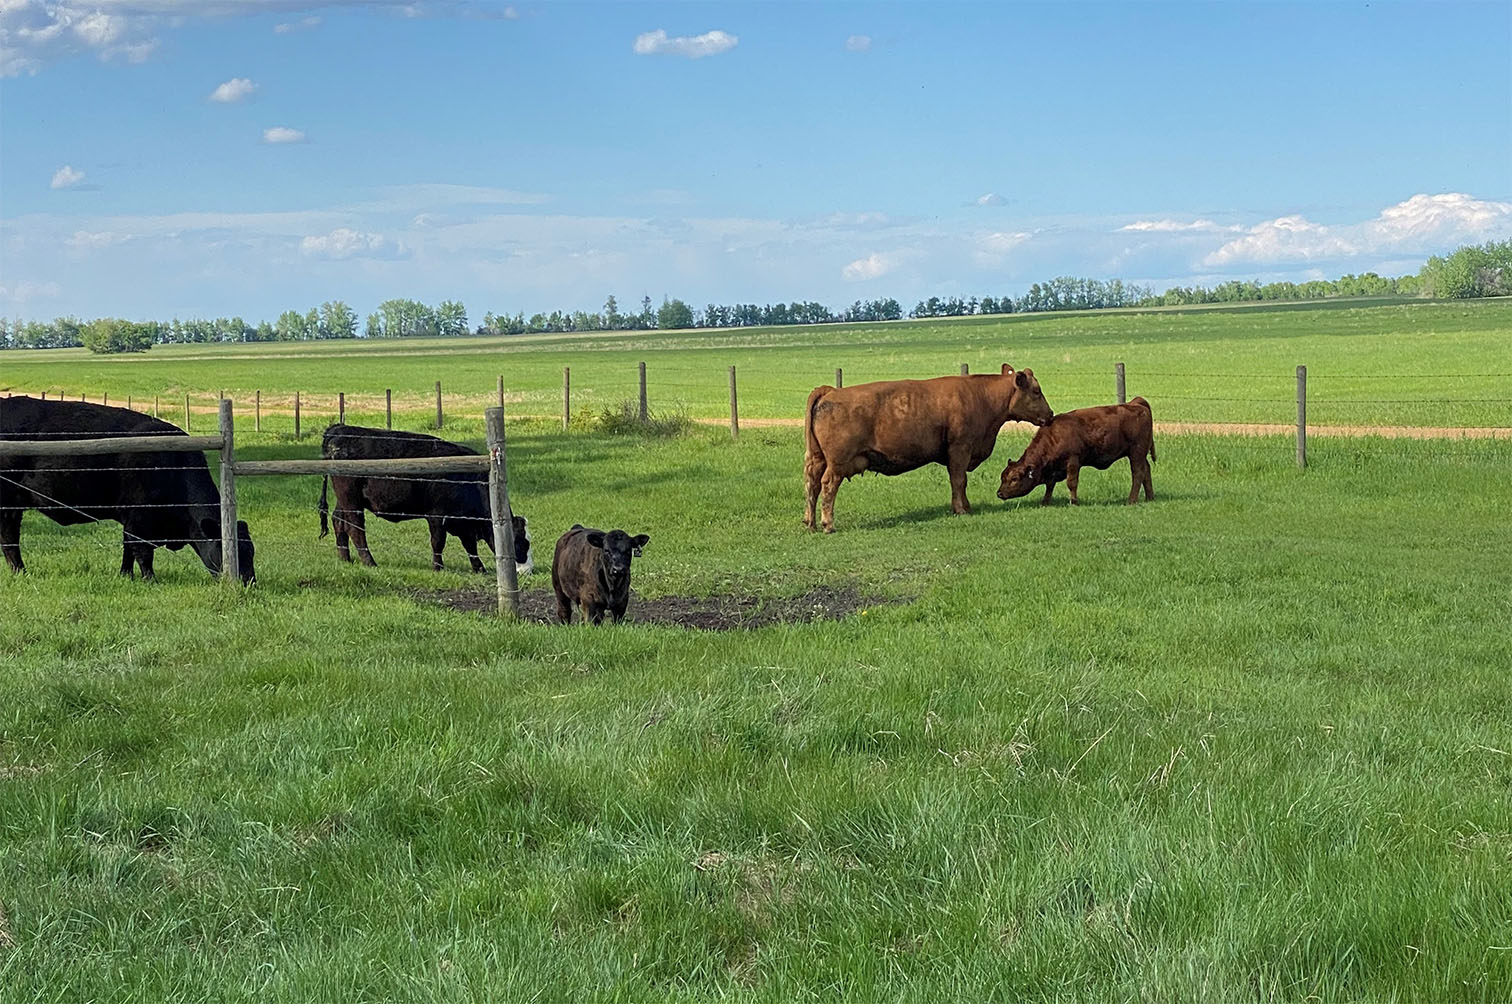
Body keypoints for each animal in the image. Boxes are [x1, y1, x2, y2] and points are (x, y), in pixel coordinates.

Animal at [0, 393, 254, 580]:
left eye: (251, 551)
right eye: (231, 551)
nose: (248, 581)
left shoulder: (132, 519)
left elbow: (127, 550)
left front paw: (125, 576)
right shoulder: (139, 518)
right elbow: (141, 551)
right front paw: (150, 580)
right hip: (8, 504)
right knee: (9, 539)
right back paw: (21, 572)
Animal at [312, 420, 532, 571]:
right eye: (520, 541)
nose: (527, 568)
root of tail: (339, 428)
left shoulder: (463, 521)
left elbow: (470, 546)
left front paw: (479, 568)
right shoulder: (436, 515)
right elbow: (438, 542)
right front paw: (438, 567)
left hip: (345, 499)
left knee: (338, 521)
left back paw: (345, 558)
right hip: (351, 499)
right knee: (355, 528)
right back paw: (369, 561)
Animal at [804, 362, 1052, 532]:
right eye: (1036, 391)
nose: (1050, 414)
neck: (980, 396)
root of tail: (831, 391)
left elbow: (960, 482)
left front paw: (966, 506)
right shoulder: (960, 449)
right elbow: (959, 480)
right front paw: (961, 509)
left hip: (817, 459)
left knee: (811, 485)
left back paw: (810, 522)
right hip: (838, 463)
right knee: (827, 485)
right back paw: (827, 524)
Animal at [991, 396, 1155, 505]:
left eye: (1014, 479)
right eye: (1002, 477)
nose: (999, 493)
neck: (1054, 436)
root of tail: (1136, 404)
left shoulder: (1073, 461)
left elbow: (1071, 483)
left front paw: (1073, 501)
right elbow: (1049, 485)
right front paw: (1045, 501)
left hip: (1136, 453)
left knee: (1138, 473)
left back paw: (1131, 500)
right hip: (1141, 454)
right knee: (1146, 470)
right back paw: (1149, 497)